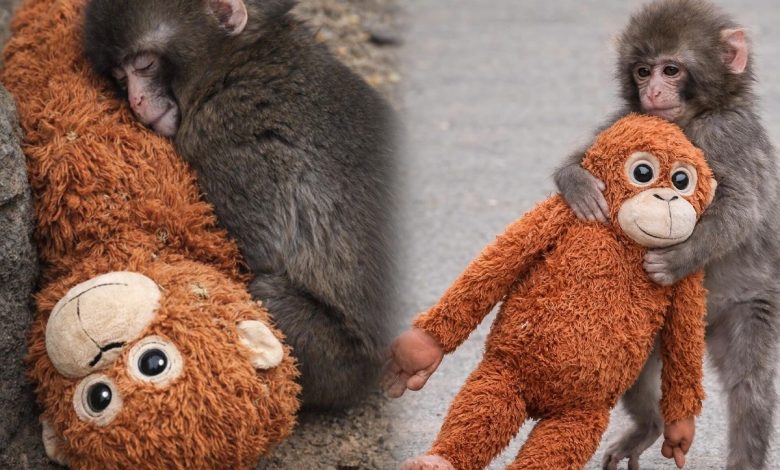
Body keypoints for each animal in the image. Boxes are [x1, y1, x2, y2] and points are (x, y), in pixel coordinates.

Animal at [83, 0, 397, 410]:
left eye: (145, 65)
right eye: (121, 76)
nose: (136, 102)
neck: (234, 62)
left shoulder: (229, 142)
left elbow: (258, 254)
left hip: (337, 363)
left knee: (265, 296)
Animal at [553, 1, 780, 468]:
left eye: (671, 70)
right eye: (643, 71)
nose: (653, 92)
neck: (691, 120)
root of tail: (703, 327)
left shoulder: (729, 134)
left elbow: (740, 208)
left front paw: (674, 261)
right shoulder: (630, 121)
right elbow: (583, 158)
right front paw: (578, 184)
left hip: (745, 306)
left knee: (750, 389)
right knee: (631, 366)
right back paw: (650, 426)